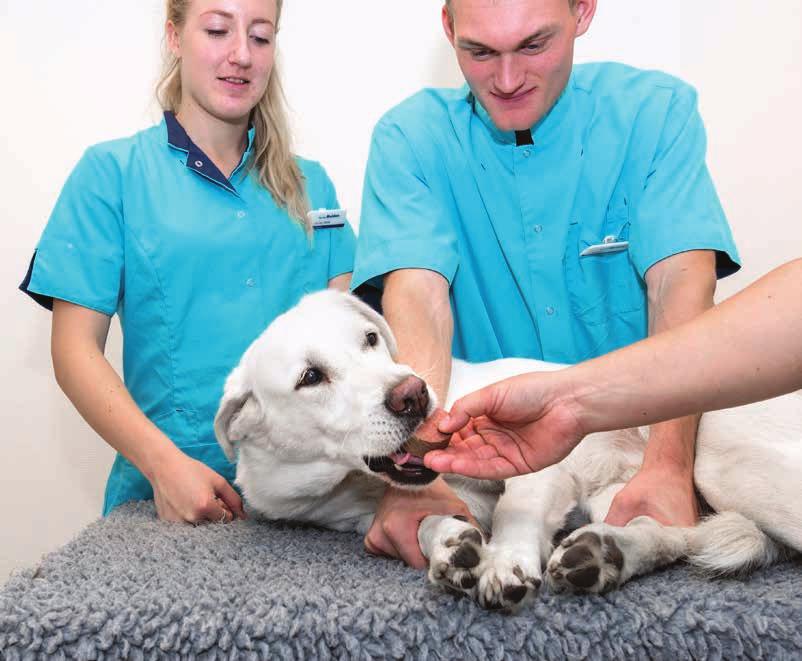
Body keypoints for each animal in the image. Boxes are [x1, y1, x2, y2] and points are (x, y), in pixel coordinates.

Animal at [212, 292, 800, 612]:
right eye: (310, 377)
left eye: (369, 340)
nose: (413, 395)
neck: (351, 482)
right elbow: (429, 522)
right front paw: (452, 550)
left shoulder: (538, 465)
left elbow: (516, 512)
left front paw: (504, 563)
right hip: (626, 495)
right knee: (668, 535)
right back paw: (603, 556)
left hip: (726, 467)